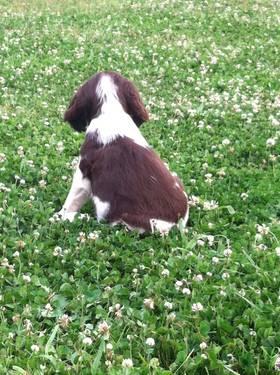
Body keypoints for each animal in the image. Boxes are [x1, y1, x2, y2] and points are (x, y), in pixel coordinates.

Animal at [56, 71, 188, 234]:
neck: (110, 111)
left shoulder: (83, 172)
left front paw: (60, 215)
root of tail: (175, 225)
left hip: (118, 219)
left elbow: (71, 200)